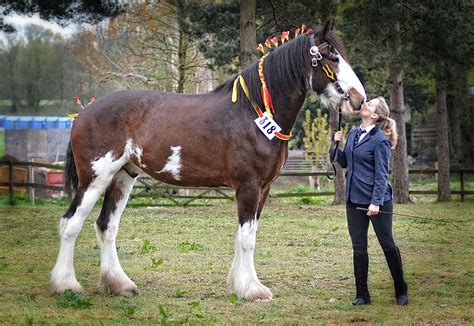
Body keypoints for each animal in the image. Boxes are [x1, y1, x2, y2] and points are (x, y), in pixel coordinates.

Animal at [51, 19, 364, 300]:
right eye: (332, 56)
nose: (358, 99)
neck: (253, 113)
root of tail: (83, 114)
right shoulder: (248, 186)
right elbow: (247, 238)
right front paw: (252, 290)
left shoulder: (262, 188)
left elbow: (246, 234)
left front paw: (240, 285)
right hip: (95, 179)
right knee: (70, 224)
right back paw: (66, 285)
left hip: (122, 177)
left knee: (106, 226)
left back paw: (119, 285)